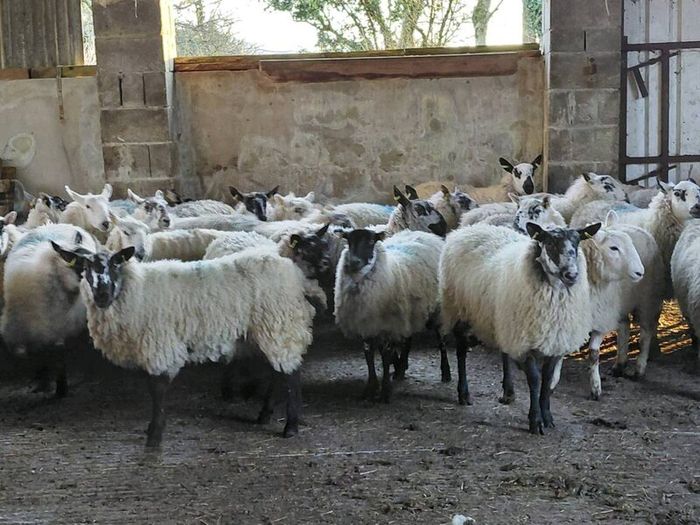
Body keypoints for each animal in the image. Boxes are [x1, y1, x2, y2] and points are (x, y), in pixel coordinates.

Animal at [2, 224, 97, 396]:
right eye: (80, 263)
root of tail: (49, 225)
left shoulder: (60, 328)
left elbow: (59, 355)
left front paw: (61, 388)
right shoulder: (35, 332)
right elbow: (40, 356)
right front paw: (43, 381)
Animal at [50, 242, 318, 446]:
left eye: (116, 264)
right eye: (84, 268)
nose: (102, 295)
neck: (135, 291)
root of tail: (292, 272)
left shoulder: (158, 344)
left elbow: (157, 389)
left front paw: (154, 434)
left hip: (279, 324)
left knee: (291, 374)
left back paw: (291, 426)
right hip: (266, 331)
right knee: (278, 372)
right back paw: (264, 414)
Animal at [334, 229, 447, 402]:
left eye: (371, 241)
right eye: (349, 241)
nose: (354, 262)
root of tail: (425, 234)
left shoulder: (387, 325)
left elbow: (385, 357)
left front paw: (385, 391)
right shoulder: (366, 325)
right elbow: (369, 357)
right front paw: (370, 388)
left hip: (436, 310)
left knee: (441, 339)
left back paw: (446, 373)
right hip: (409, 312)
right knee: (407, 339)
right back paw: (401, 369)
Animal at [440, 222, 600, 433]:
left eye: (577, 241)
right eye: (550, 243)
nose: (571, 275)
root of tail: (466, 229)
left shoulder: (554, 342)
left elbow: (547, 380)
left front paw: (547, 417)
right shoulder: (526, 342)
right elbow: (534, 379)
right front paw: (535, 421)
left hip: (504, 321)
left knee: (504, 351)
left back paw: (508, 391)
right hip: (459, 310)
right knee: (460, 351)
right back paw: (463, 393)